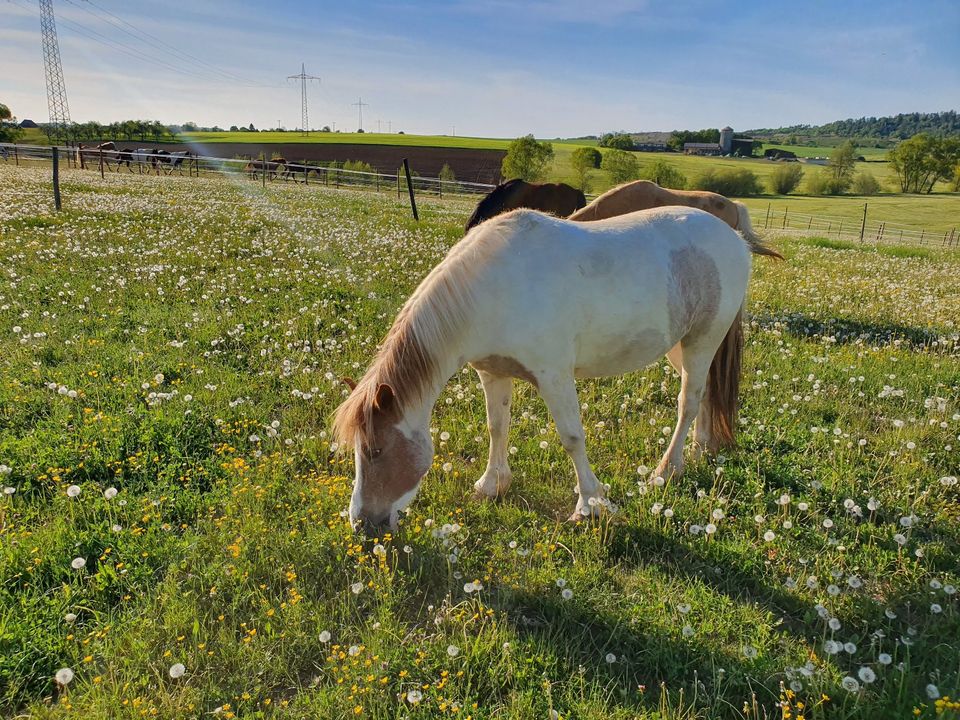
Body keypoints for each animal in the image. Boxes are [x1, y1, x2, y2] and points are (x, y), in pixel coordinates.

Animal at [338, 205, 756, 532]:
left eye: (374, 450)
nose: (361, 523)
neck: (495, 290)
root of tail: (734, 237)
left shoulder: (554, 376)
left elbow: (572, 438)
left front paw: (590, 505)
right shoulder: (493, 372)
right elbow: (497, 427)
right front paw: (492, 485)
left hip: (703, 340)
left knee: (689, 401)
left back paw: (665, 471)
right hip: (679, 347)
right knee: (703, 397)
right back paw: (697, 454)